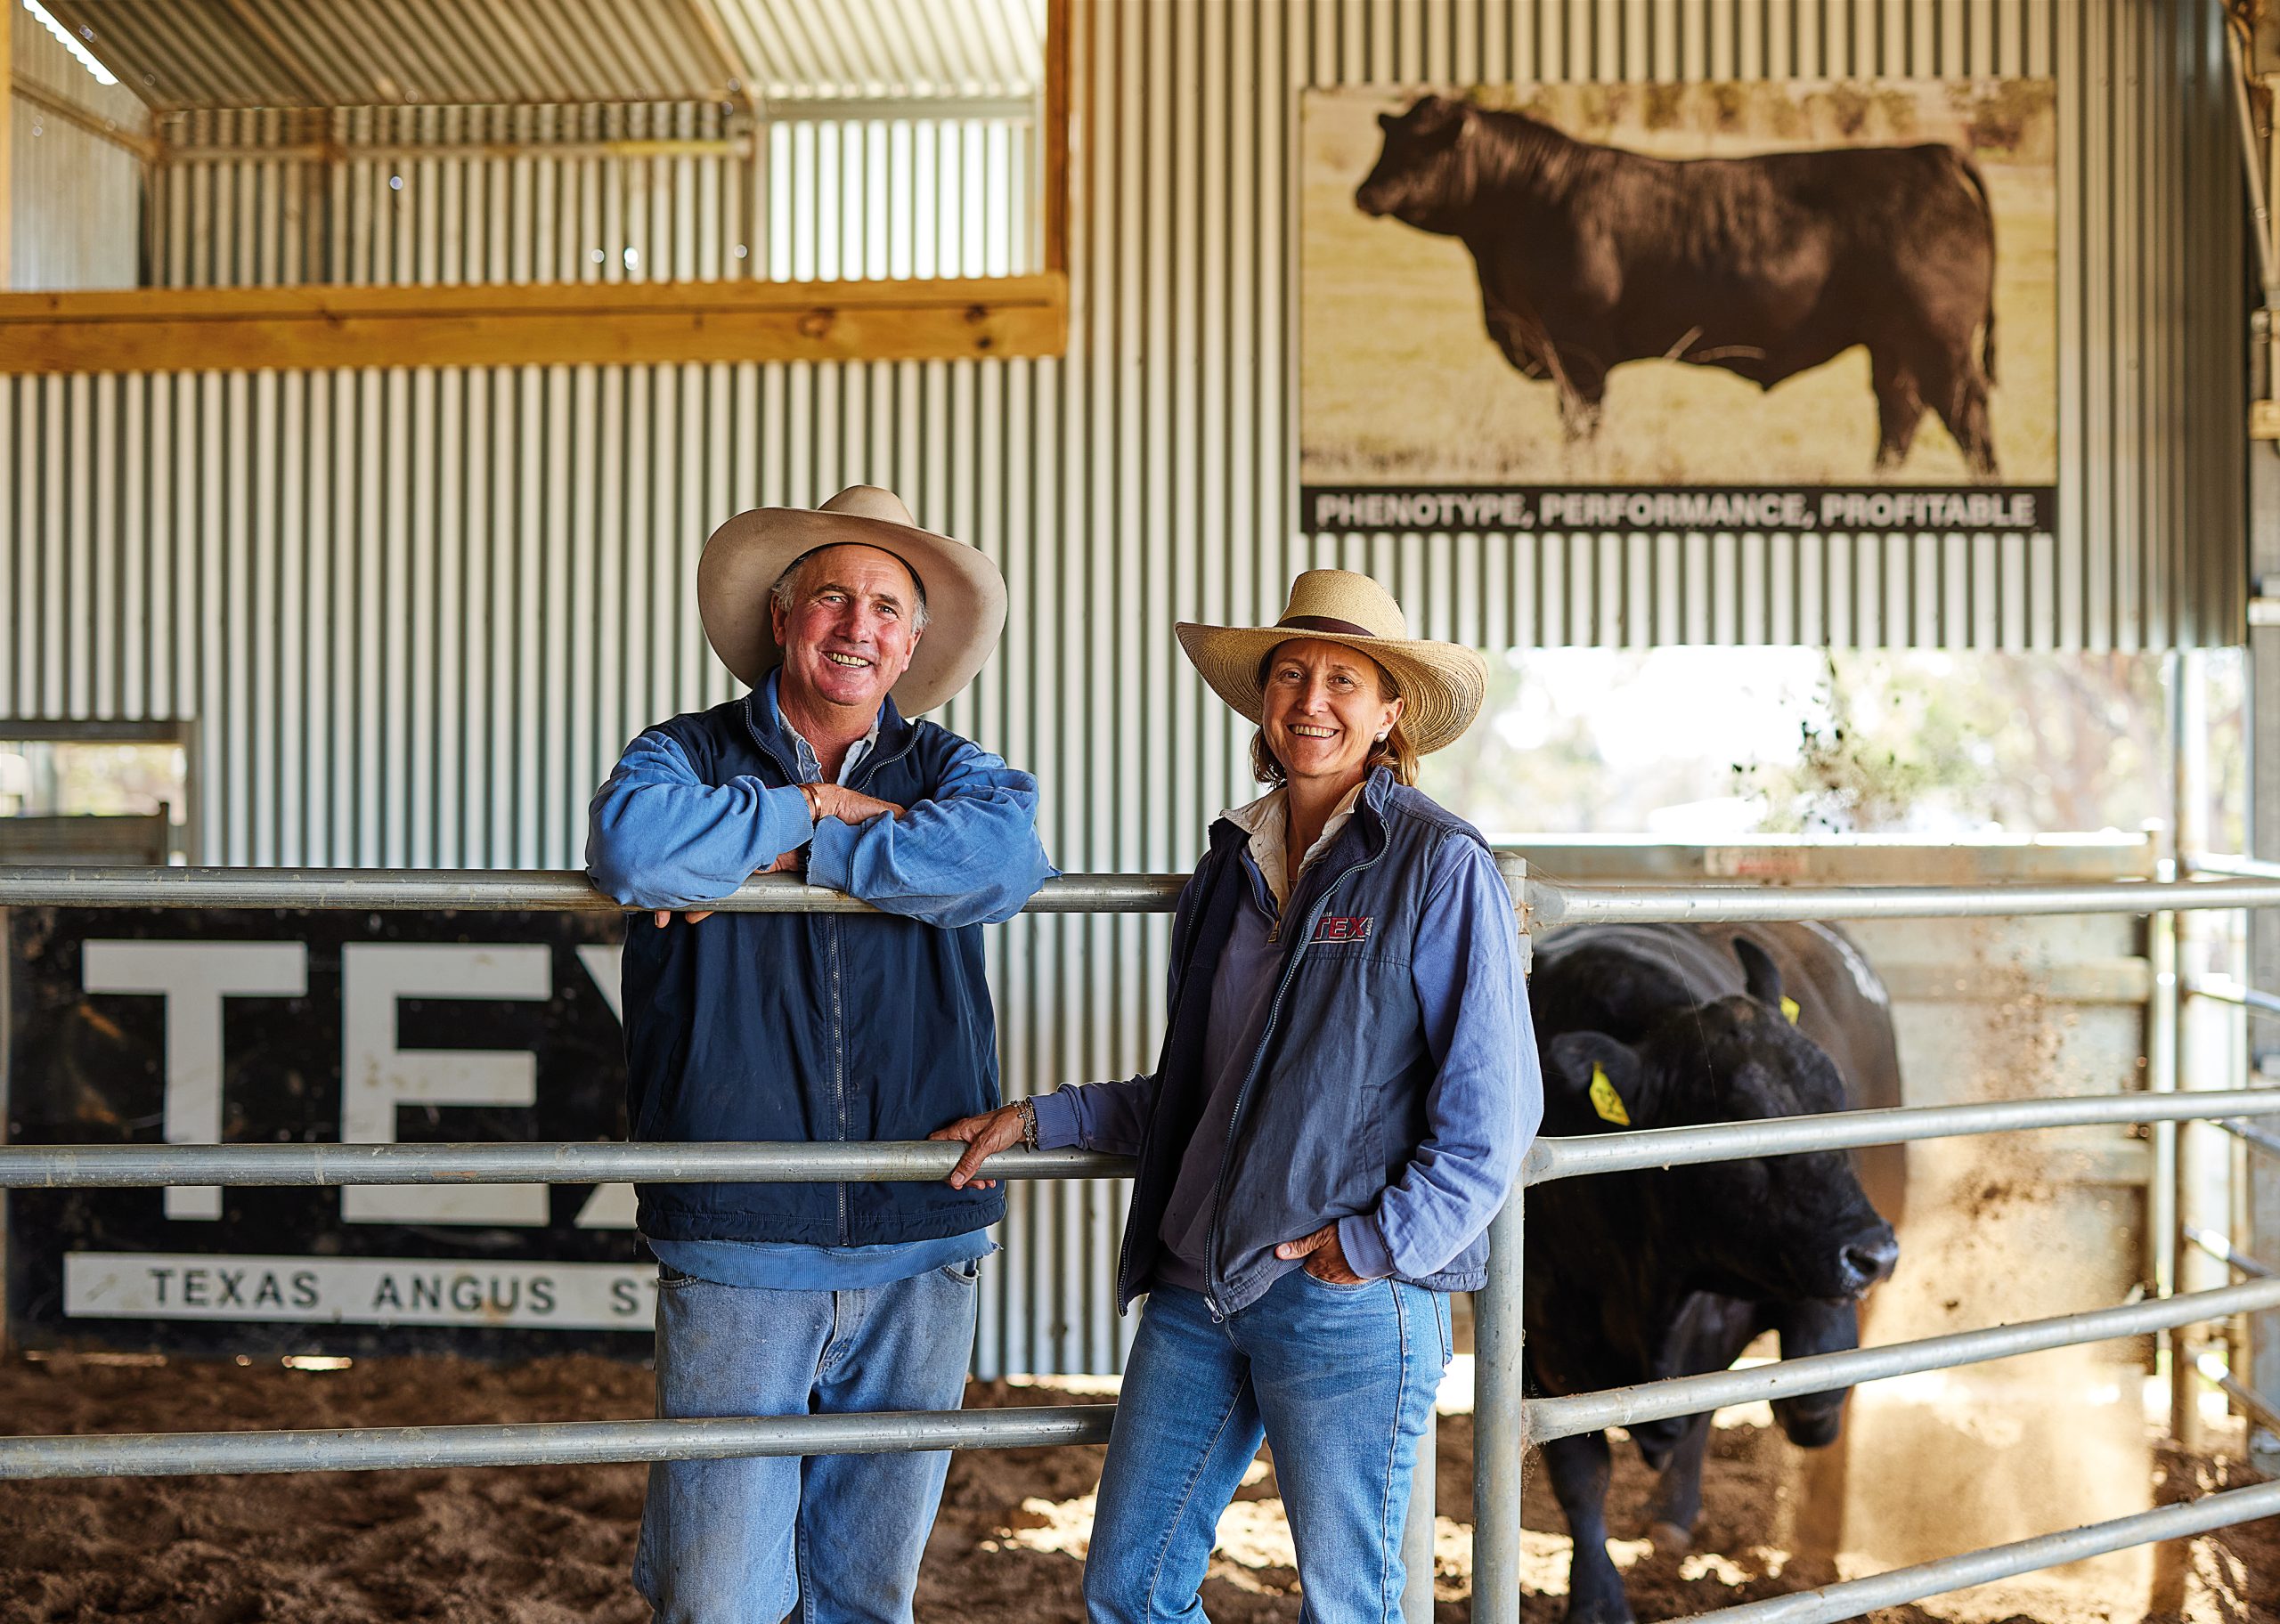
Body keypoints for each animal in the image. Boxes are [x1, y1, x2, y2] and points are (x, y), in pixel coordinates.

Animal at [1349, 93, 1997, 476]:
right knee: (1900, 410)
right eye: (1390, 138)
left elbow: (1580, 419)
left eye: (1424, 145)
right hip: (1893, 342)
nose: (1366, 193)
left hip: (1938, 340)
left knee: (1964, 415)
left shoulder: (1577, 347)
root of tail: (1928, 154)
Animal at [1532, 926, 1906, 1624]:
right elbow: (1580, 1473)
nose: (1875, 1254)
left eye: (1836, 1104)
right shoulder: (1543, 1342)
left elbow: (1815, 1389)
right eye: (1742, 1130)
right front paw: (1596, 1601)